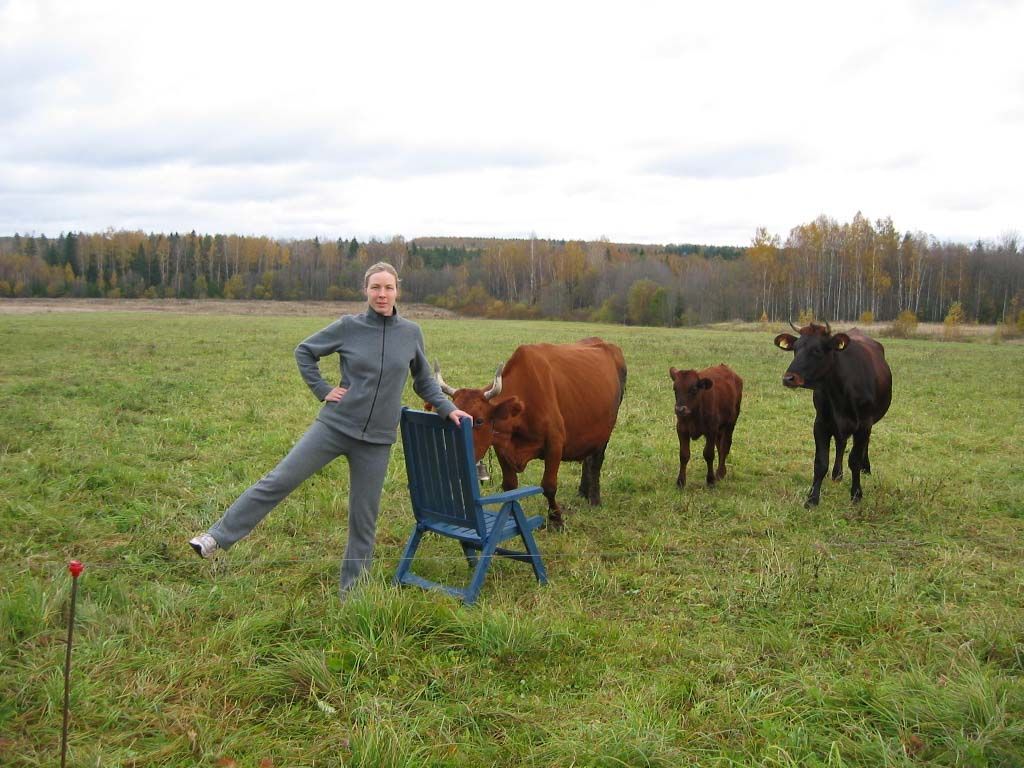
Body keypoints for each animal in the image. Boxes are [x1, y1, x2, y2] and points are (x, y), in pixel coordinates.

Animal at [770, 321, 892, 507]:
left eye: (817, 350)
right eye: (795, 349)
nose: (788, 378)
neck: (839, 391)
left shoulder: (864, 424)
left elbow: (854, 460)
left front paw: (856, 494)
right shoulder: (821, 423)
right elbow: (820, 463)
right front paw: (812, 498)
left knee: (864, 444)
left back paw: (866, 468)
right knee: (841, 443)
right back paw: (837, 474)